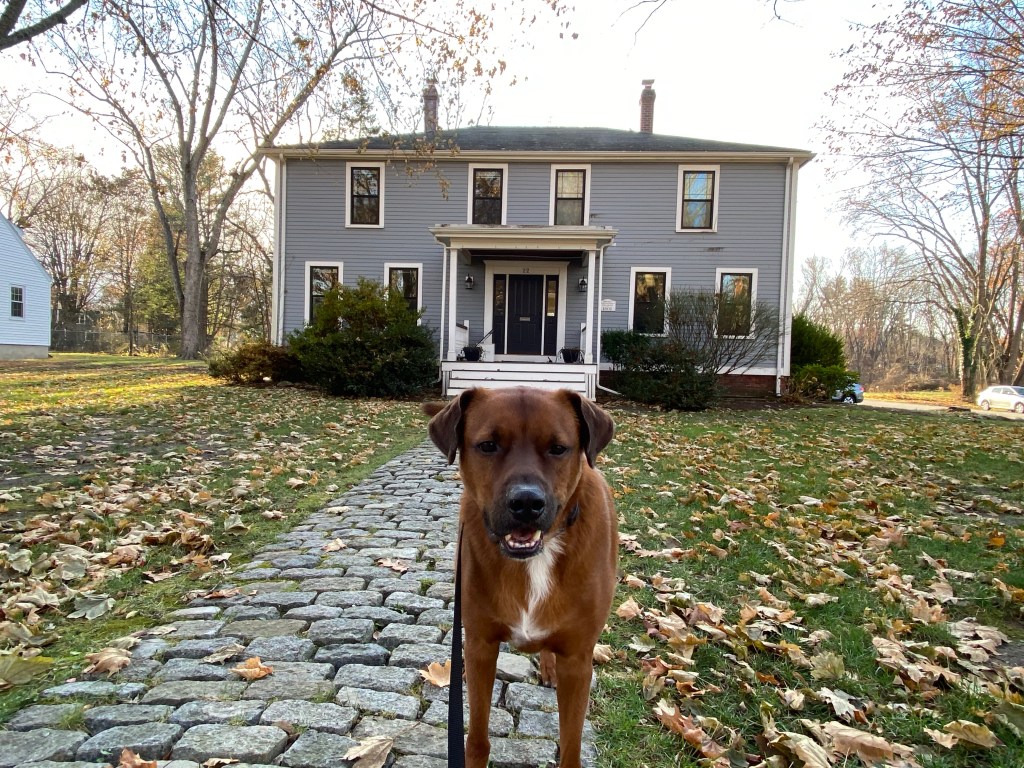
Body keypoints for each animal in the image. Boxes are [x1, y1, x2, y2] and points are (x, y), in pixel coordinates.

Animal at [425, 386, 618, 768]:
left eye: (558, 448)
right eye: (488, 445)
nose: (526, 503)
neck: (534, 559)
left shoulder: (578, 660)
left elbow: (571, 747)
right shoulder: (480, 645)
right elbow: (476, 739)